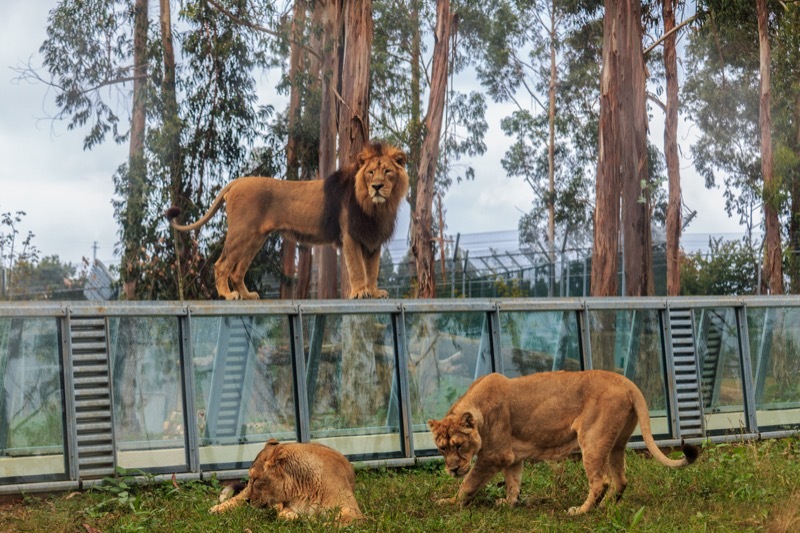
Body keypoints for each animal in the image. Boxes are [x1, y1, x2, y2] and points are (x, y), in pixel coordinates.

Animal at [166, 140, 410, 300]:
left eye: (387, 172)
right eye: (370, 173)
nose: (377, 186)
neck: (376, 207)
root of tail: (236, 182)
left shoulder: (372, 239)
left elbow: (373, 269)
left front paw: (375, 292)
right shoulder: (350, 235)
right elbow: (358, 268)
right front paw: (360, 292)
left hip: (256, 239)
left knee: (237, 270)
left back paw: (248, 295)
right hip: (241, 234)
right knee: (221, 264)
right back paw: (228, 295)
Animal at [428, 370, 696, 516]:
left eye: (459, 445)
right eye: (442, 448)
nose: (452, 469)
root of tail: (628, 383)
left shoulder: (495, 455)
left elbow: (469, 483)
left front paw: (450, 502)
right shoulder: (512, 457)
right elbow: (513, 483)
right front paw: (508, 503)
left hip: (592, 439)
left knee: (601, 481)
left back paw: (581, 511)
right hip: (616, 444)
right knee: (620, 480)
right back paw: (605, 508)